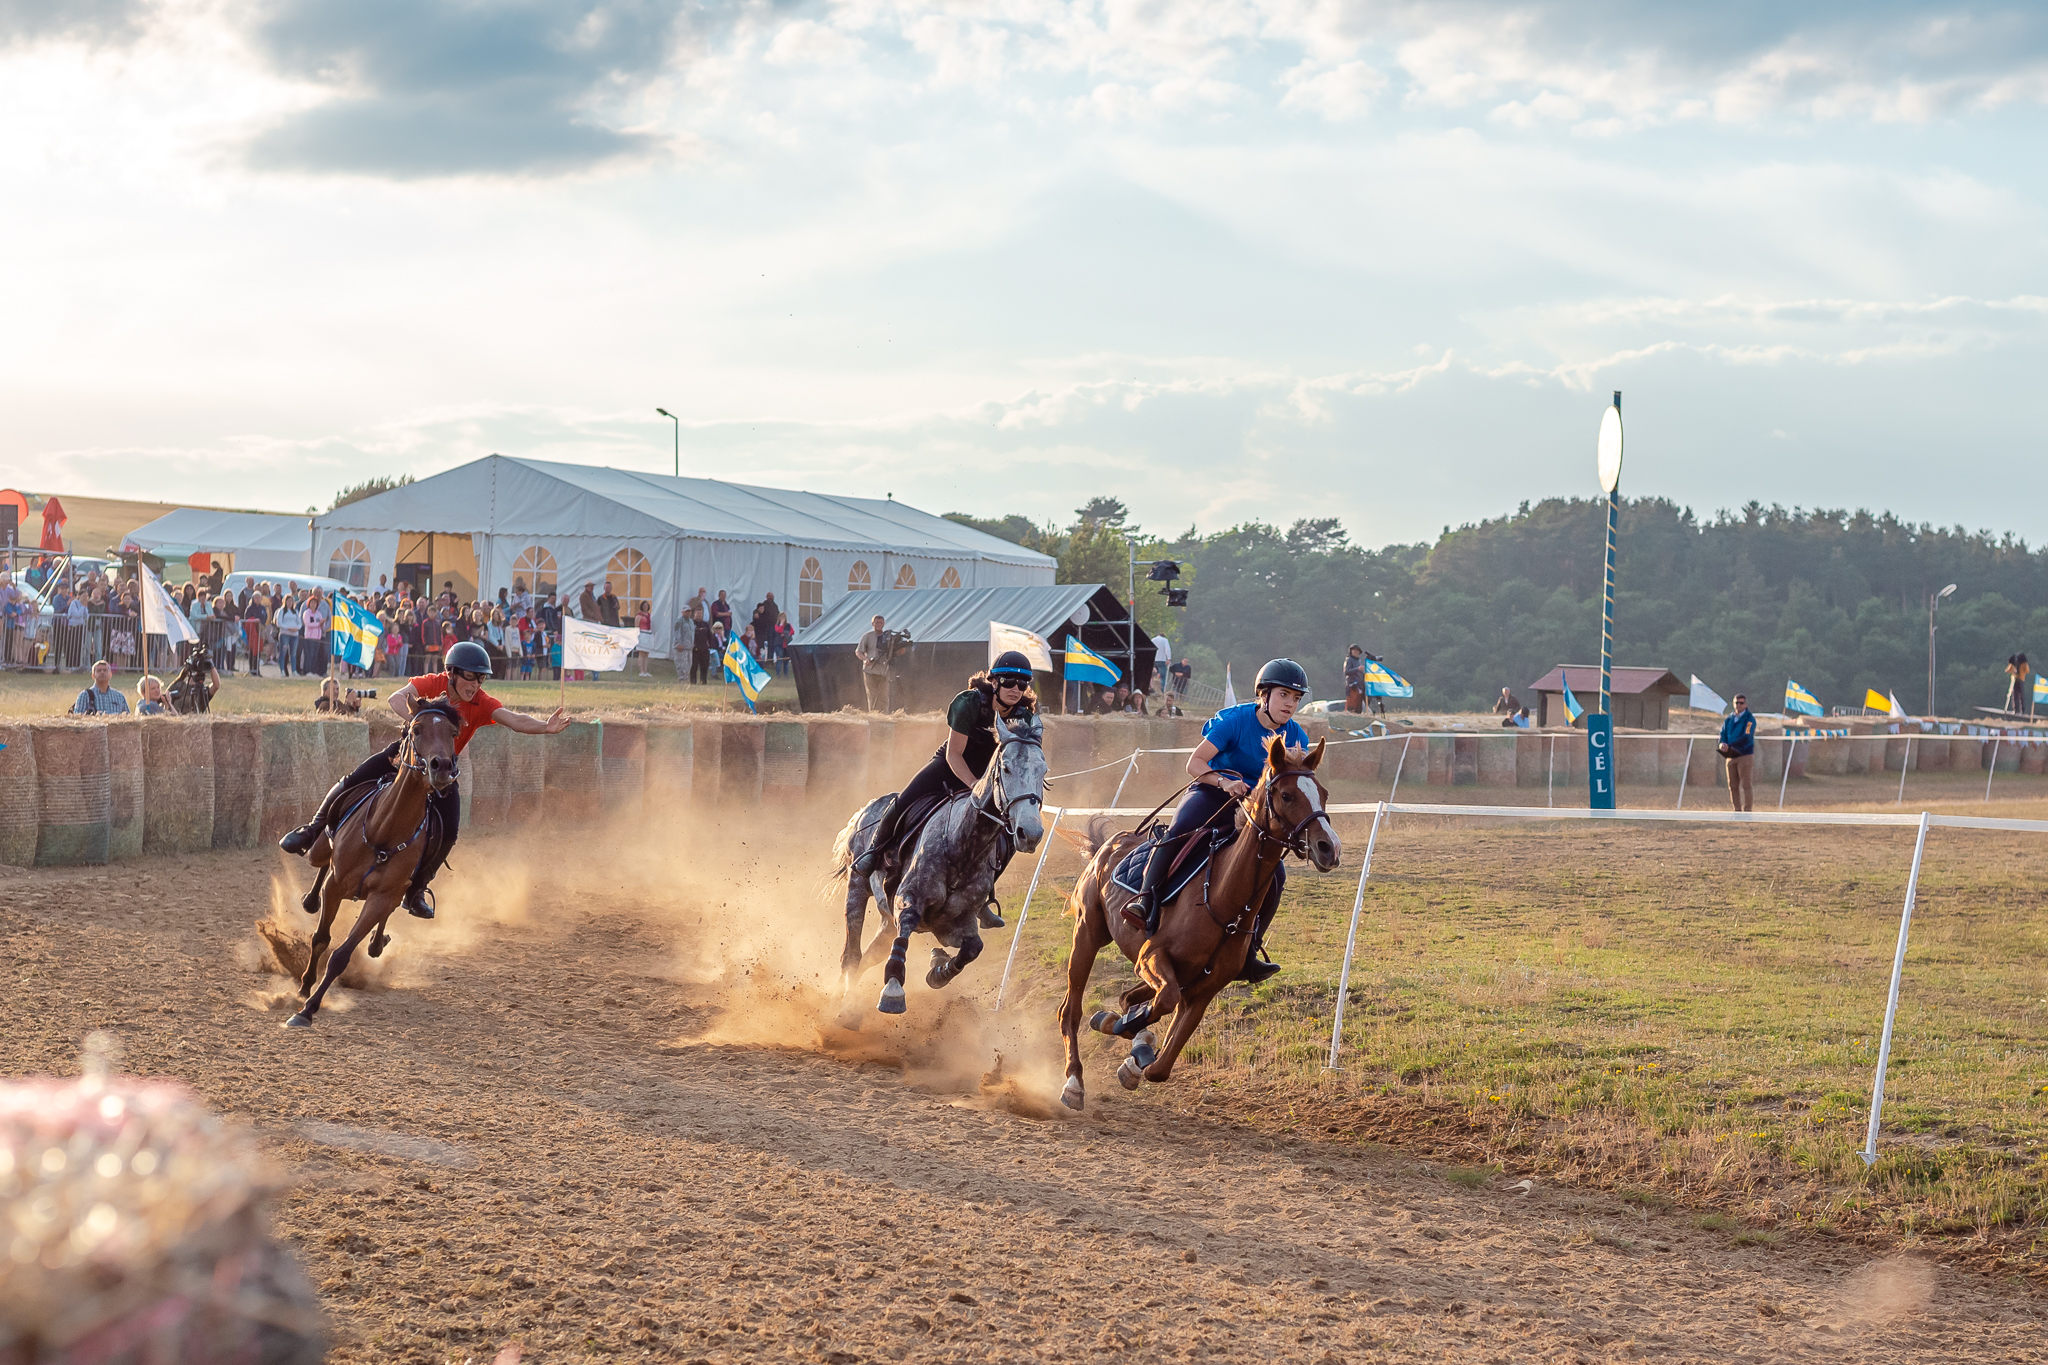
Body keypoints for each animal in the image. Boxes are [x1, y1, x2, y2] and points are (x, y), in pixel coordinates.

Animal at [278, 699, 454, 1031]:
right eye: (416, 729)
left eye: (453, 732)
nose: (442, 767)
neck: (385, 831)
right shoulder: (336, 887)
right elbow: (321, 938)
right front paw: (305, 987)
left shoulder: (382, 898)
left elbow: (341, 954)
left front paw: (308, 1009)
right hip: (318, 851)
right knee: (321, 864)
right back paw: (310, 897)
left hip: (394, 893)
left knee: (395, 907)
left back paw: (376, 941)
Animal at [827, 716, 1048, 1015]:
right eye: (1006, 767)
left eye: (1043, 771)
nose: (1031, 832)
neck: (963, 848)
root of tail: (868, 807)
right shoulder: (908, 900)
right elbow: (906, 929)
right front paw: (893, 991)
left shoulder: (953, 924)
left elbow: (973, 947)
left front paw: (938, 969)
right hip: (858, 886)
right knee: (852, 954)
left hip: (886, 919)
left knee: (869, 956)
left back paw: (846, 1006)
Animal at [1056, 736, 1343, 1113]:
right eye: (1286, 795)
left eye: (1323, 793)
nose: (1329, 847)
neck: (1220, 900)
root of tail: (1112, 842)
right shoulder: (1151, 958)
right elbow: (1161, 1003)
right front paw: (1124, 1032)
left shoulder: (1203, 991)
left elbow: (1160, 1066)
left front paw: (1136, 1052)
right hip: (1088, 933)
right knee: (1070, 1011)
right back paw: (1074, 1082)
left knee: (1128, 997)